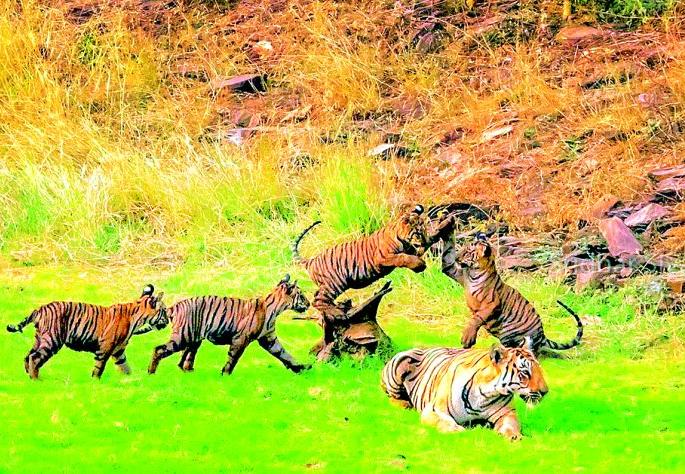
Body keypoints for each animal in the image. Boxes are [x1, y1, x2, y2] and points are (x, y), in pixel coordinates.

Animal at [6, 285, 168, 379]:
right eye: (164, 310)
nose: (167, 321)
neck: (137, 318)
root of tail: (39, 309)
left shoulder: (119, 350)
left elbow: (125, 366)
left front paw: (132, 380)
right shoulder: (106, 346)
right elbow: (99, 366)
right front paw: (95, 381)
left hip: (39, 339)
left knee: (28, 356)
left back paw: (29, 377)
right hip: (52, 340)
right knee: (34, 358)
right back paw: (36, 380)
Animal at [147, 274, 311, 375]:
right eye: (302, 295)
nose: (309, 304)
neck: (275, 309)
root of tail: (175, 306)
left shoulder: (269, 339)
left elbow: (284, 354)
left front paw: (302, 368)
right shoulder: (241, 339)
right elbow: (233, 358)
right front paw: (225, 374)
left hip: (194, 339)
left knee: (185, 359)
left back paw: (189, 372)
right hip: (183, 336)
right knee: (159, 349)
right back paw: (151, 372)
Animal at [292, 205, 455, 358]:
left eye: (424, 230)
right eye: (418, 232)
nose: (423, 239)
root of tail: (311, 261)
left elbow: (426, 243)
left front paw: (444, 223)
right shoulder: (385, 257)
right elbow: (404, 257)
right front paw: (420, 265)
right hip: (334, 283)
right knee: (318, 300)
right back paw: (338, 313)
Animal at [381, 338, 548, 440]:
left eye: (539, 369)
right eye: (525, 372)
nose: (545, 392)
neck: (486, 394)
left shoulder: (507, 413)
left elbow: (510, 425)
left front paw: (514, 436)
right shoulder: (433, 410)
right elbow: (444, 422)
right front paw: (457, 431)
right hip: (398, 364)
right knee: (392, 396)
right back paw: (405, 404)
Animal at [450, 233, 583, 353]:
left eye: (467, 252)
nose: (456, 258)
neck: (473, 273)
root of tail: (542, 334)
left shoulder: (491, 304)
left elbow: (476, 319)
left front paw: (467, 338)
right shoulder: (459, 274)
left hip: (508, 331)